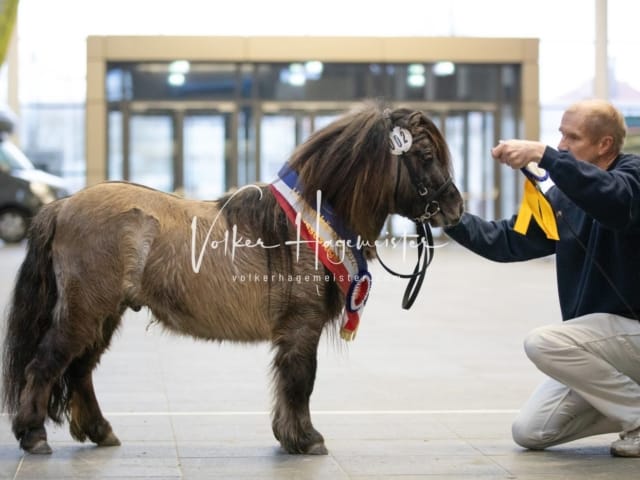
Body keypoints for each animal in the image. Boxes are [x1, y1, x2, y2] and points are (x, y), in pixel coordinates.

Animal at [0, 100, 460, 454]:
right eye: (425, 156)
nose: (455, 207)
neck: (309, 225)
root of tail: (62, 206)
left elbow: (290, 381)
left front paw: (290, 436)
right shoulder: (302, 326)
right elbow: (300, 379)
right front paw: (306, 438)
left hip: (105, 314)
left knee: (79, 370)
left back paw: (100, 431)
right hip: (84, 312)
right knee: (46, 364)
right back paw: (33, 434)